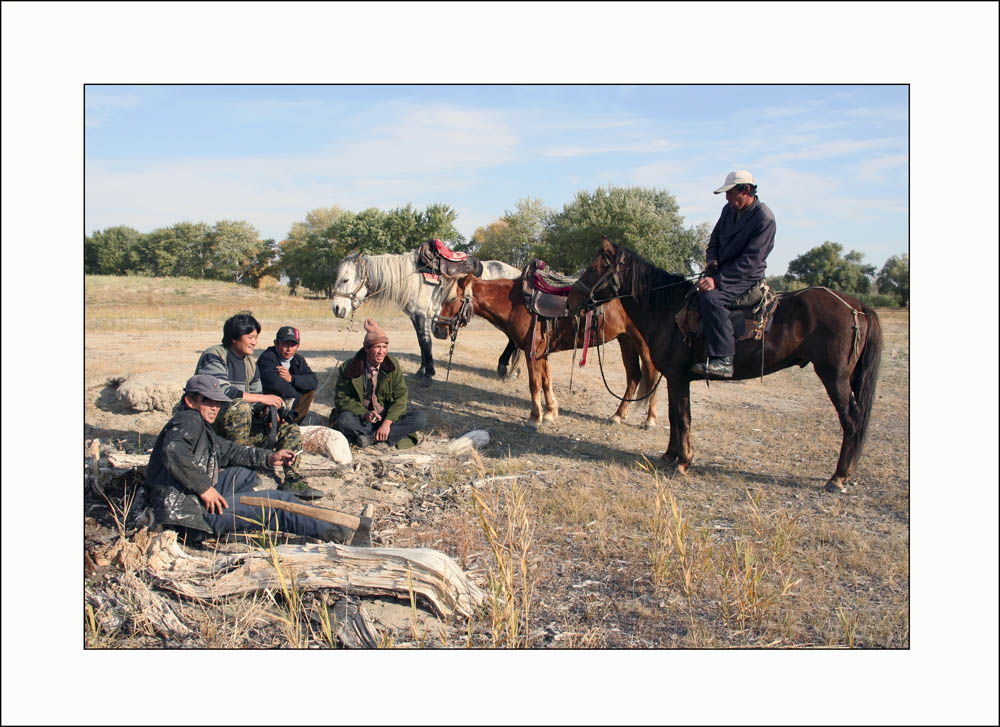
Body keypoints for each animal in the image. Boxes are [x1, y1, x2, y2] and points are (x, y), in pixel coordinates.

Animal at [334, 250, 524, 382]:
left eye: (345, 280)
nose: (336, 308)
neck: (413, 279)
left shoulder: (422, 315)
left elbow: (426, 343)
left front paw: (428, 373)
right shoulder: (415, 316)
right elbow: (421, 343)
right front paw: (422, 370)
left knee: (513, 340)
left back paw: (504, 368)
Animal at [434, 276, 660, 430]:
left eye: (452, 299)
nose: (437, 330)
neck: (515, 303)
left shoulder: (532, 353)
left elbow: (534, 384)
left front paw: (535, 418)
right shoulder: (542, 353)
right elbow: (546, 381)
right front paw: (551, 412)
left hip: (644, 346)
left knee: (653, 377)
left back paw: (649, 420)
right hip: (626, 341)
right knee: (634, 377)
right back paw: (619, 415)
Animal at [568, 239, 888, 494]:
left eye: (595, 268)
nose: (571, 301)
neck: (669, 310)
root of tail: (856, 306)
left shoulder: (678, 377)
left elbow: (683, 417)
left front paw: (684, 461)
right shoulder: (673, 378)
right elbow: (675, 416)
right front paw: (671, 455)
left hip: (835, 378)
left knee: (852, 421)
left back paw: (838, 477)